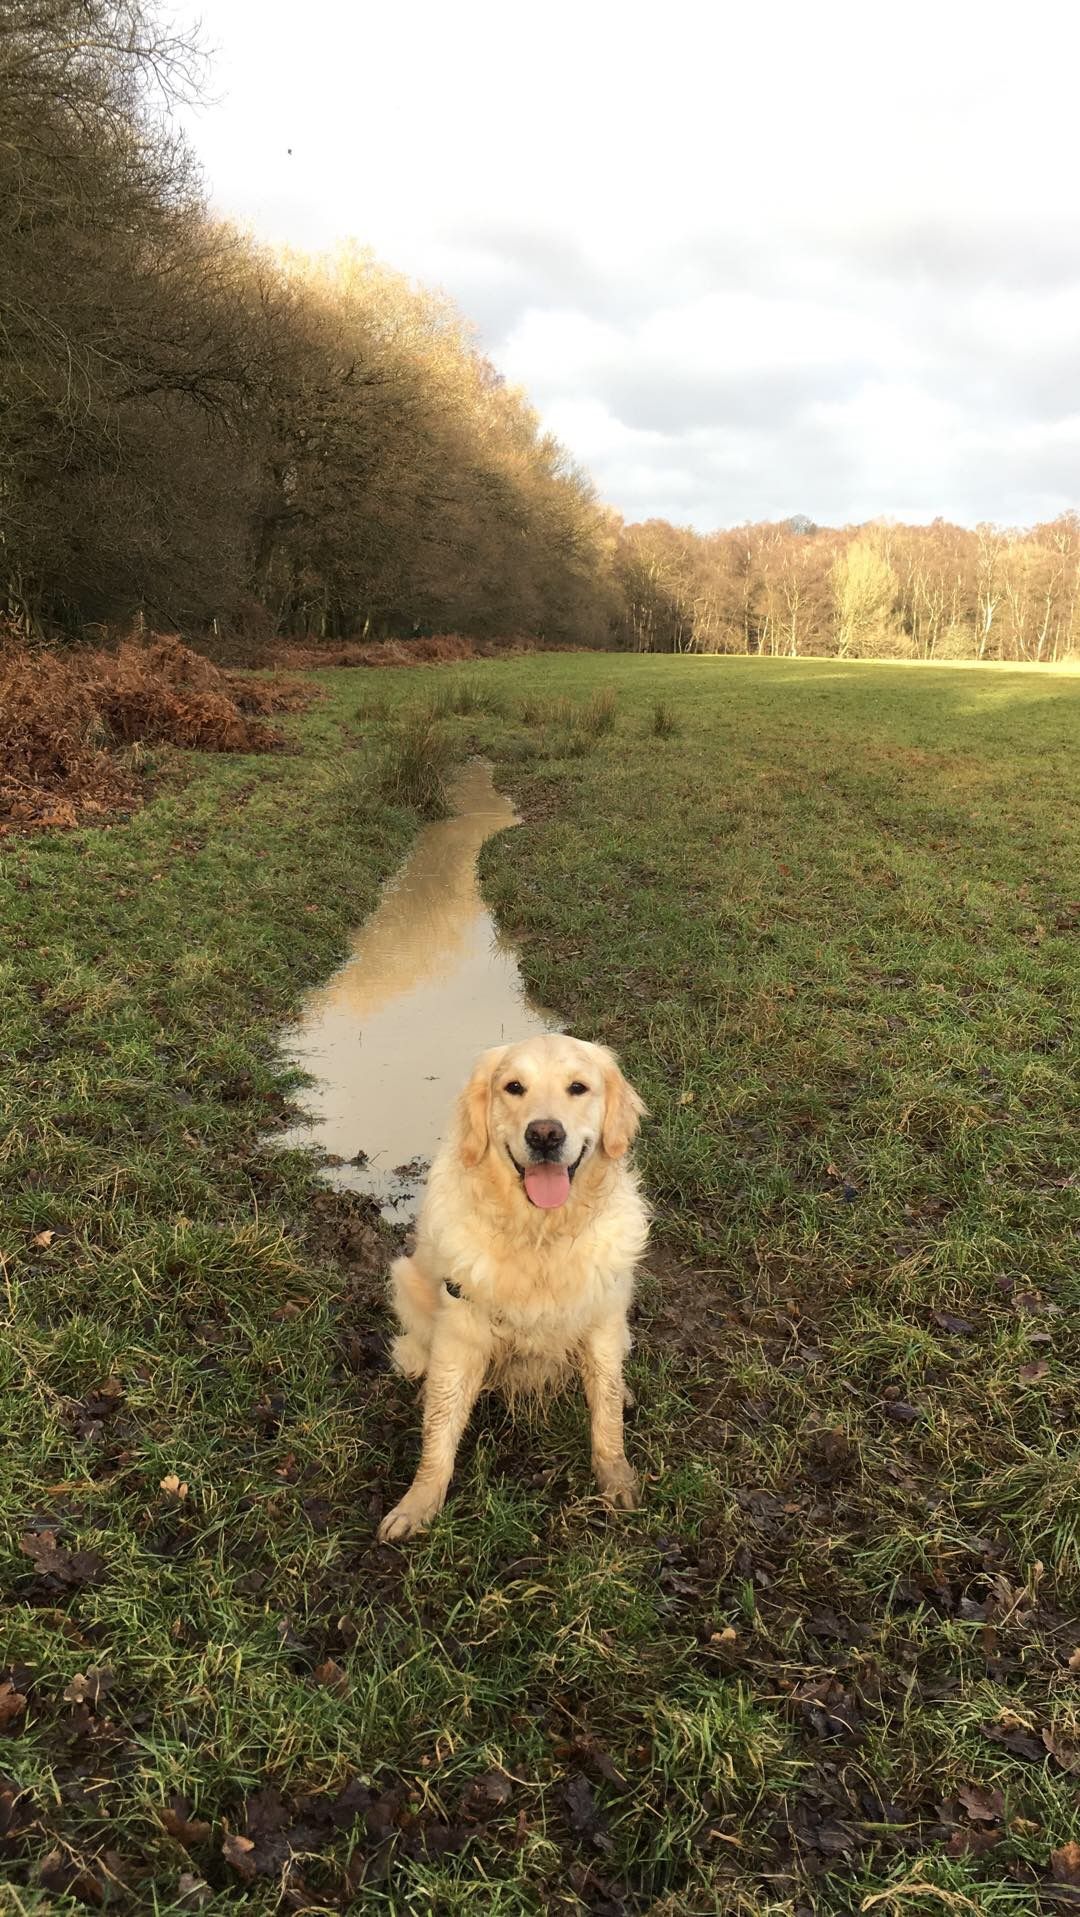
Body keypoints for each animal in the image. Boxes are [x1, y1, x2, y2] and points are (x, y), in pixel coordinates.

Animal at [377, 1035, 652, 1541]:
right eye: (514, 1087)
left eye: (578, 1087)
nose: (544, 1134)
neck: (539, 1234)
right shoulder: (461, 1330)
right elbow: (440, 1429)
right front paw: (418, 1504)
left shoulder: (602, 1316)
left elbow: (605, 1408)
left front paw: (617, 1478)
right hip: (407, 1279)